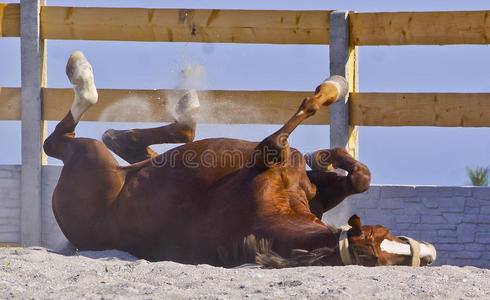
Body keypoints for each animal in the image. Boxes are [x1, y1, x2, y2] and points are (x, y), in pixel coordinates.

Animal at [44, 51, 436, 268]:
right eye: (377, 241)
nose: (429, 253)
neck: (271, 211)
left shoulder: (308, 188)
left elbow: (358, 177)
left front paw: (326, 153)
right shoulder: (272, 158)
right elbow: (302, 119)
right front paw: (334, 96)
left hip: (94, 157)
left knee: (76, 142)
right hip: (91, 155)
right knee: (59, 141)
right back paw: (86, 76)